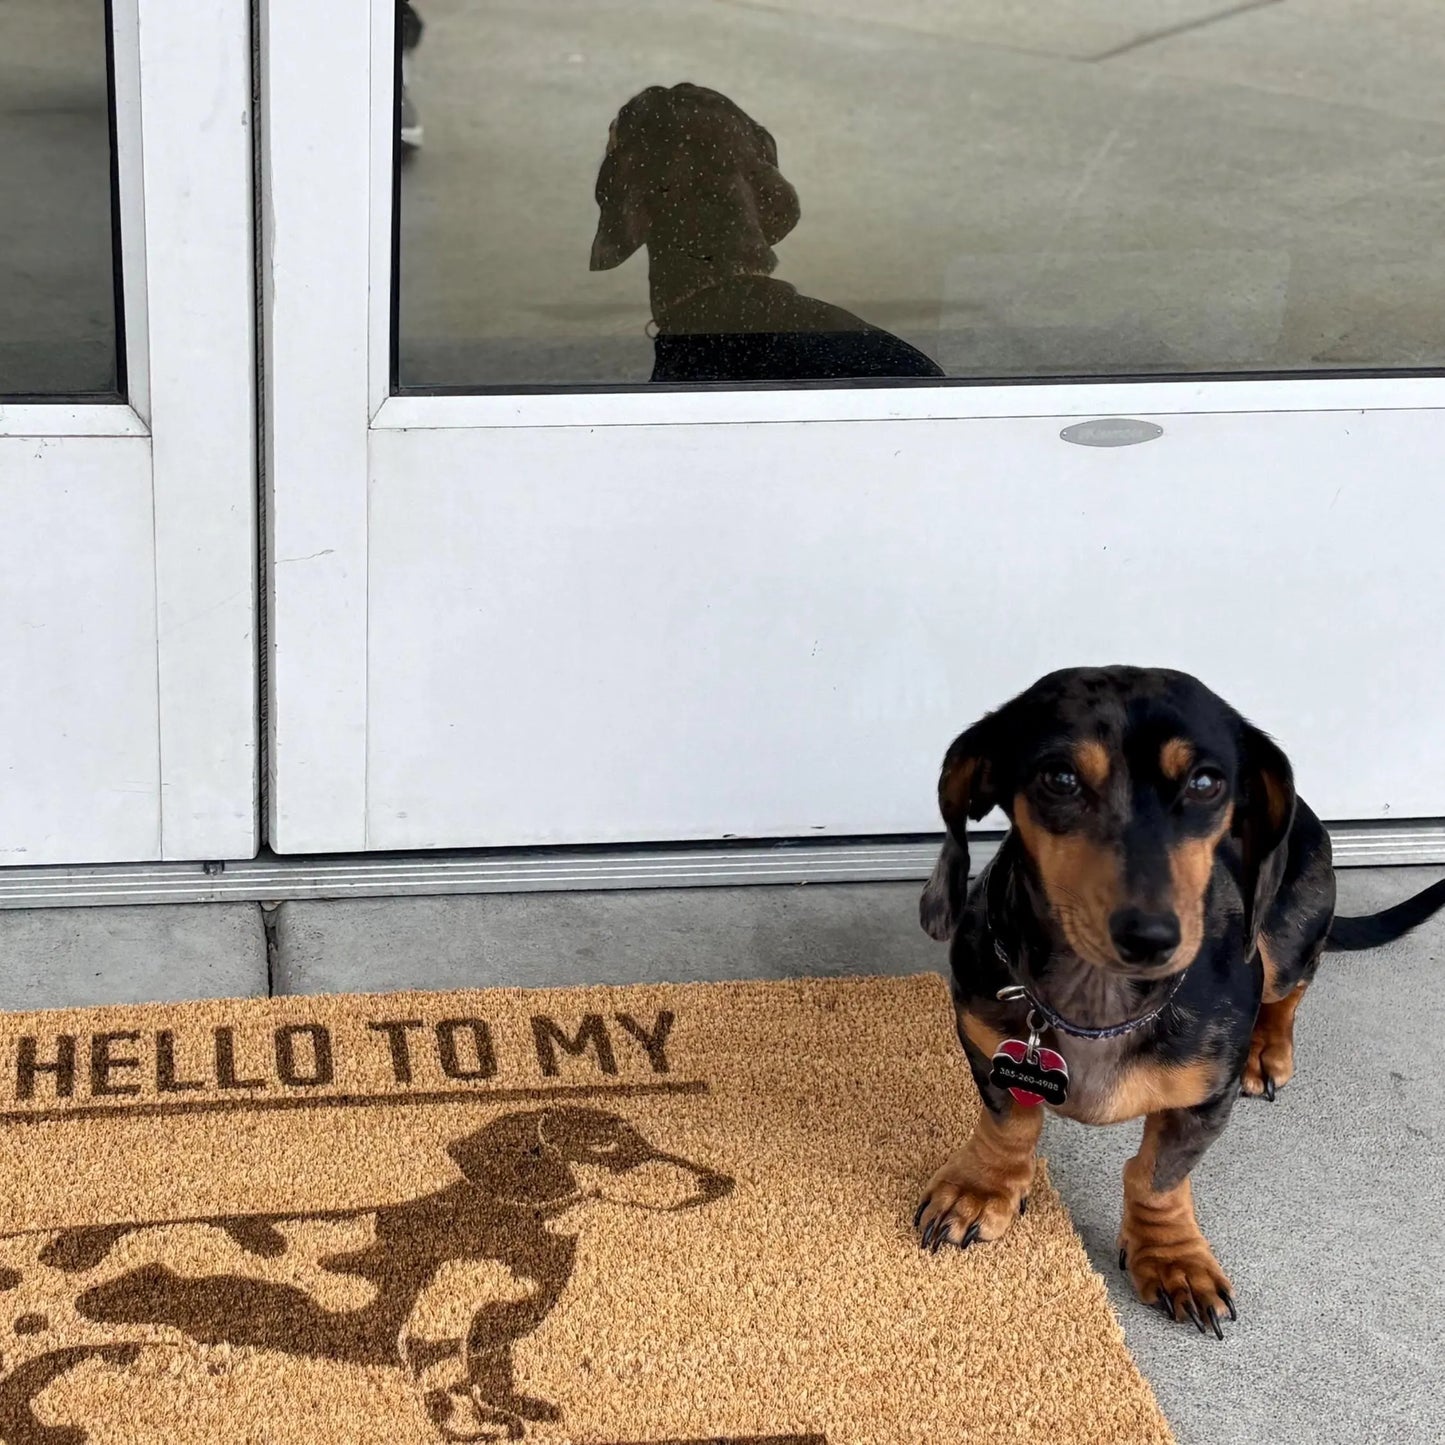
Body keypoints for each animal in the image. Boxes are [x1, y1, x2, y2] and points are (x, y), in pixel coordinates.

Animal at [0, 1109, 734, 1439]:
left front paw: (523, 1409)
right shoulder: (437, 1335)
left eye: (646, 1136)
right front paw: (478, 1430)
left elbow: (496, 1375)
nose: (718, 1182)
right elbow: (453, 1392)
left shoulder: (493, 1335)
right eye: (608, 1144)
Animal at [913, 670, 1445, 1335]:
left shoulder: (1205, 1100)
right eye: (1058, 778)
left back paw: (1268, 1050)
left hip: (1287, 936)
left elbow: (1157, 1177)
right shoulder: (988, 1045)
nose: (1150, 936)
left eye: (1206, 782)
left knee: (1293, 985)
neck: (1098, 1002)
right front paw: (981, 1187)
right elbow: (1012, 1122)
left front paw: (1172, 1257)